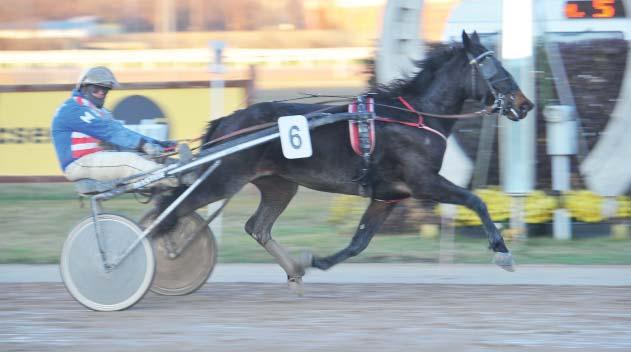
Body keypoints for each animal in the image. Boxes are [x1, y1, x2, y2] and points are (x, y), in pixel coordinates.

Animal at [157, 32, 532, 284]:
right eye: (492, 64)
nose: (525, 103)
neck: (415, 116)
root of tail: (226, 121)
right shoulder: (424, 182)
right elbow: (475, 200)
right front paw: (503, 251)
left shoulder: (388, 195)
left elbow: (359, 242)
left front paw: (315, 262)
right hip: (223, 178)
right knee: (171, 208)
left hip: (279, 184)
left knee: (257, 226)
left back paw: (292, 269)